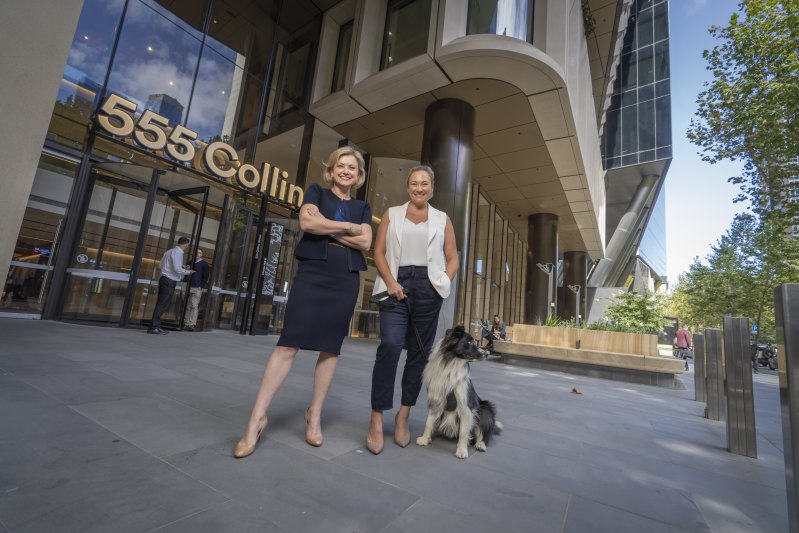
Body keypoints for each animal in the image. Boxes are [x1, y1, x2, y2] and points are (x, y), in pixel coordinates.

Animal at [418, 324, 500, 458]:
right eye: (469, 342)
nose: (487, 353)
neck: (452, 363)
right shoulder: (436, 398)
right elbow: (428, 422)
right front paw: (425, 438)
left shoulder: (466, 406)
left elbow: (463, 432)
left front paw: (462, 450)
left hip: (485, 409)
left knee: (483, 432)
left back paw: (480, 444)